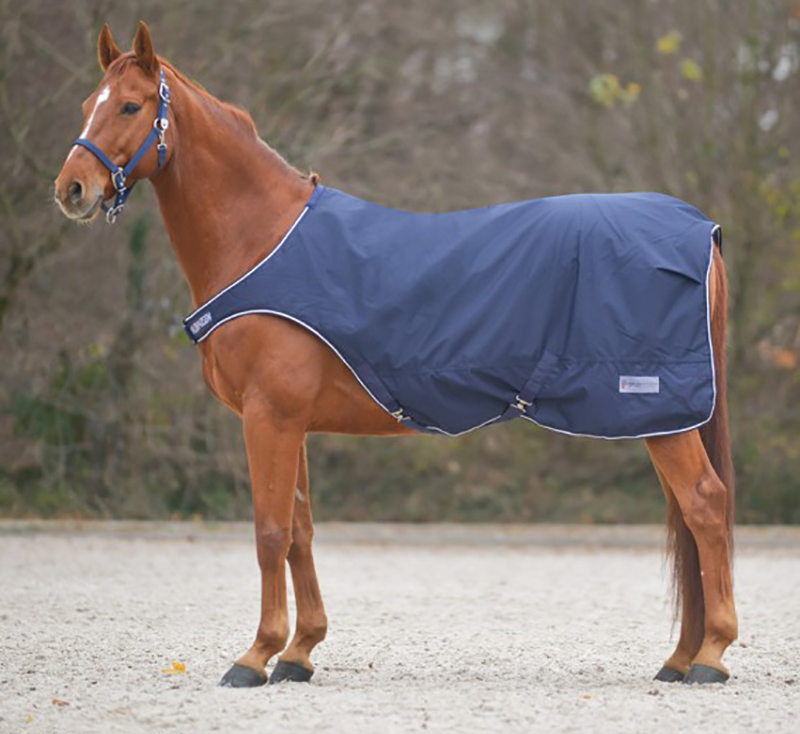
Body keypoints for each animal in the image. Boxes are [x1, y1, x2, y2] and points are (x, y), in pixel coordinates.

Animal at [54, 22, 737, 687]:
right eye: (87, 105)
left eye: (131, 106)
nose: (71, 189)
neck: (263, 240)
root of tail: (698, 230)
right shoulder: (290, 423)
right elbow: (300, 531)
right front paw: (299, 653)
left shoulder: (269, 417)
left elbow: (269, 532)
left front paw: (255, 656)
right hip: (661, 417)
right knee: (686, 515)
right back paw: (680, 658)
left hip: (658, 411)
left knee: (704, 504)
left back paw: (710, 656)